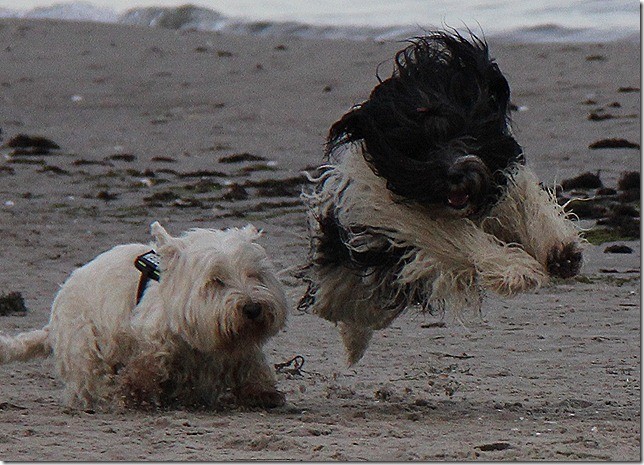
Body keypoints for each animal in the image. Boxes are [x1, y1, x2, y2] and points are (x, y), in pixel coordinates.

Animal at [0, 223, 286, 408]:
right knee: (91, 380)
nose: (252, 309)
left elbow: (250, 363)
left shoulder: (234, 350)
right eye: (216, 280)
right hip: (84, 345)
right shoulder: (153, 338)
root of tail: (52, 325)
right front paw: (133, 396)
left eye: (255, 275)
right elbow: (147, 365)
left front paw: (261, 393)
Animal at [300, 29, 580, 366]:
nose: (455, 173)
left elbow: (524, 202)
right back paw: (352, 336)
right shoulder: (391, 217)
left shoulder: (502, 185)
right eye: (419, 146)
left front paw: (559, 250)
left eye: (467, 134)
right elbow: (453, 236)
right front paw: (516, 269)